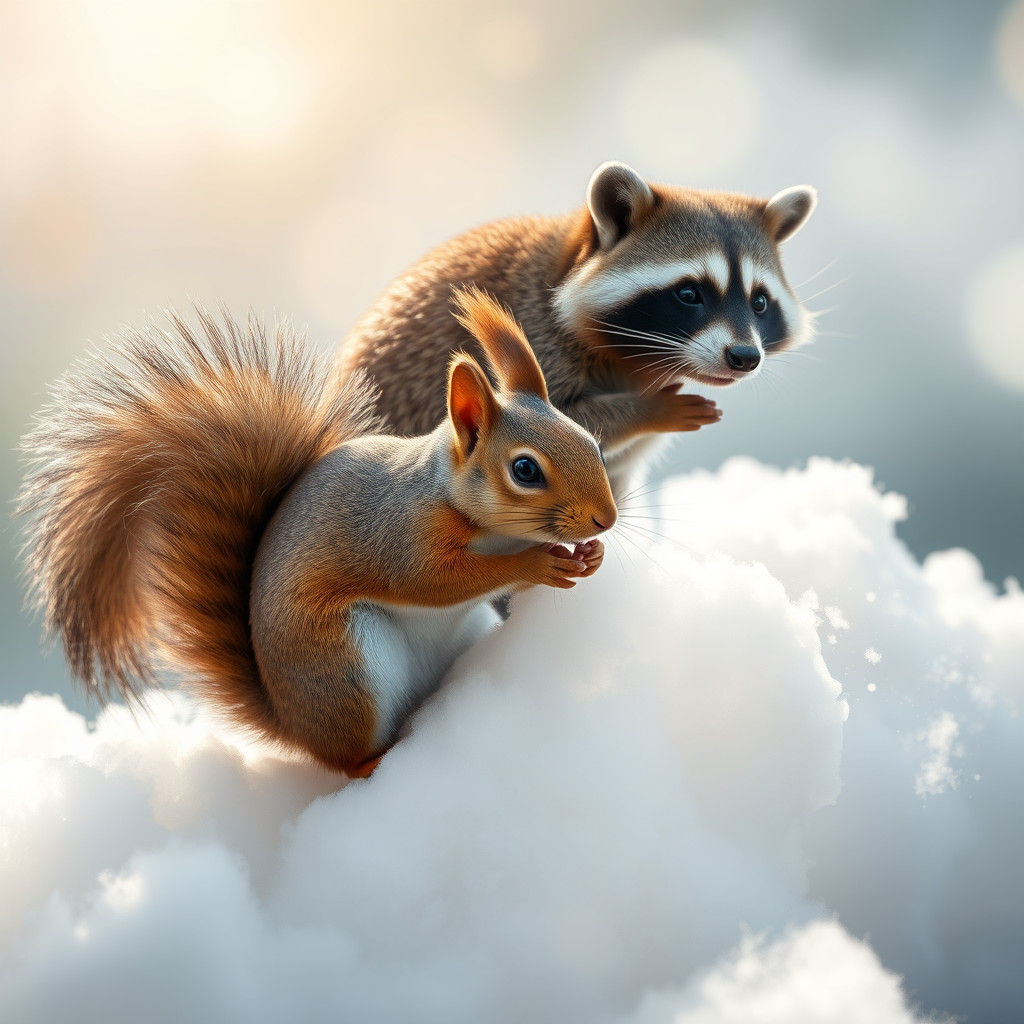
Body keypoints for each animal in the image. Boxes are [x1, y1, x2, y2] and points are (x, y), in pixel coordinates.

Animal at [19, 289, 616, 777]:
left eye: (590, 439)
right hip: (344, 669)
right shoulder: (401, 533)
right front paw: (539, 561)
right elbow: (431, 581)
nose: (606, 518)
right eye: (525, 470)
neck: (479, 519)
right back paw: (375, 761)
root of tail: (293, 725)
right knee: (345, 758)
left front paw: (589, 555)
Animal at [335, 161, 817, 495]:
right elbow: (543, 427)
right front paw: (644, 410)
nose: (745, 357)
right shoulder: (531, 333)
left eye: (759, 302)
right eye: (688, 294)